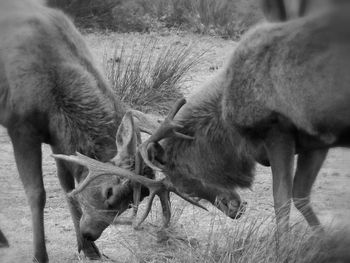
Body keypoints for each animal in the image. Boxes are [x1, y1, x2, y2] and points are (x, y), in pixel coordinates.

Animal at [54, 0, 350, 237]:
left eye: (182, 179)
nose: (235, 208)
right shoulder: (316, 141)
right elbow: (301, 196)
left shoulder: (278, 130)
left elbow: (283, 202)